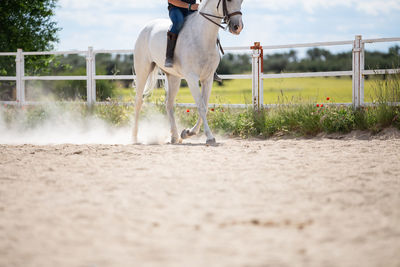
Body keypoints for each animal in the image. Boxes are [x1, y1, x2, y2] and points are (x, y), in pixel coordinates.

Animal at [134, 0, 244, 144]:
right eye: (229, 1)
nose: (238, 27)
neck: (202, 36)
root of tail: (146, 27)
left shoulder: (207, 78)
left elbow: (205, 106)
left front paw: (188, 132)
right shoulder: (192, 78)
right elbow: (201, 106)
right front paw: (209, 137)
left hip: (173, 78)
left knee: (169, 104)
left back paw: (175, 137)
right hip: (143, 70)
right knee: (138, 101)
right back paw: (134, 138)